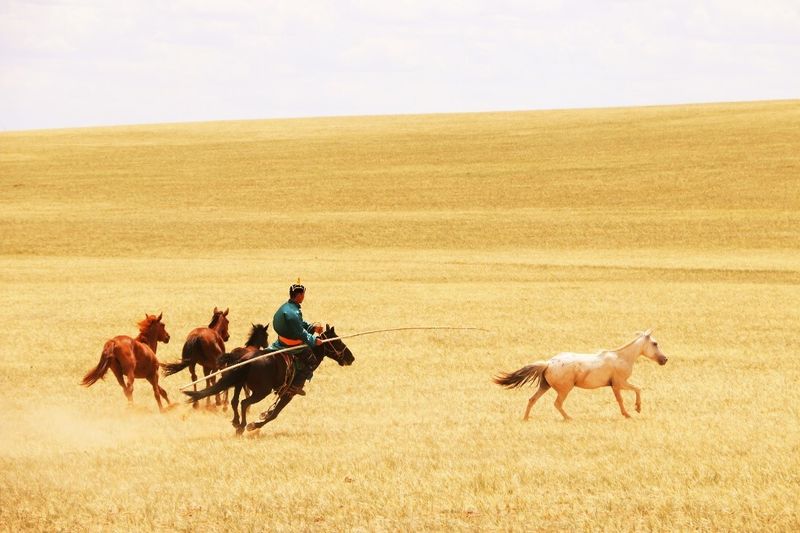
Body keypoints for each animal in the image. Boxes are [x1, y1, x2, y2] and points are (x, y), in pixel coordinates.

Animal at [186, 324, 354, 432]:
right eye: (338, 341)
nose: (351, 358)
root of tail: (247, 360)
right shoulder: (290, 392)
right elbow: (275, 413)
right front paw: (255, 424)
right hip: (261, 391)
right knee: (244, 402)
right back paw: (243, 425)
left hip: (239, 382)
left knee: (235, 401)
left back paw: (236, 422)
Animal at [494, 328, 668, 420]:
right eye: (655, 343)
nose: (664, 359)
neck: (621, 357)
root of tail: (548, 363)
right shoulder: (619, 384)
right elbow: (632, 392)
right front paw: (633, 411)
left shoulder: (616, 385)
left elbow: (630, 393)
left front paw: (632, 411)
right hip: (564, 389)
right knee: (557, 403)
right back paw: (569, 418)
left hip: (545, 386)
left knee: (532, 399)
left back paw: (526, 418)